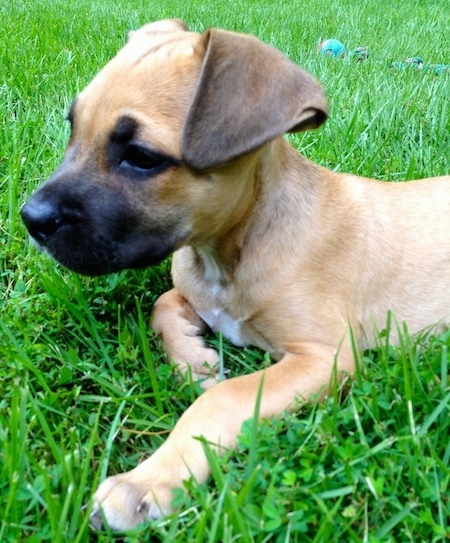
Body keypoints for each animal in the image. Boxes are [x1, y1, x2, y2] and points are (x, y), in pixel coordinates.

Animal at [20, 19, 450, 528]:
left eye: (141, 157)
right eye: (73, 127)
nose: (31, 219)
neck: (233, 250)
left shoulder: (327, 357)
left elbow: (223, 397)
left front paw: (145, 482)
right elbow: (164, 304)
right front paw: (194, 360)